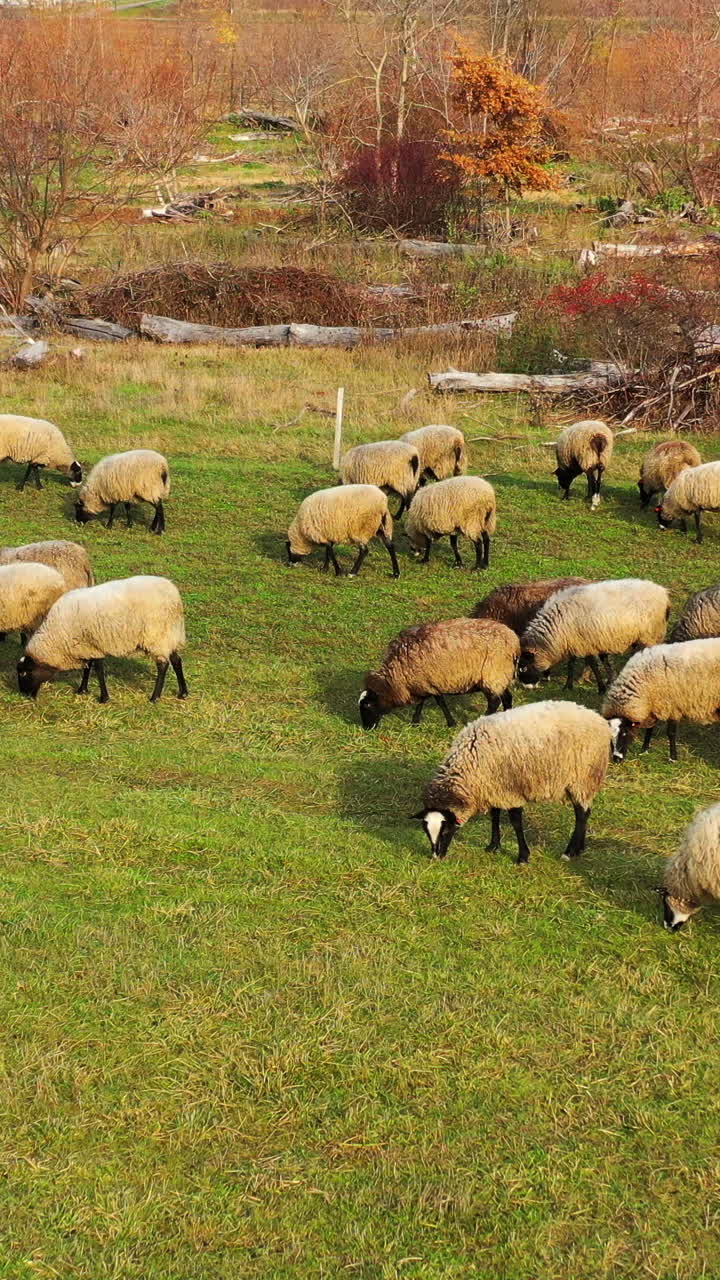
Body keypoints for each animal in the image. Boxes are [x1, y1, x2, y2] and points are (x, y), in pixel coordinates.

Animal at [17, 575, 188, 703]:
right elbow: (88, 666)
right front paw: (82, 690)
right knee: (176, 660)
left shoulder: (93, 644)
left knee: (163, 664)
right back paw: (183, 693)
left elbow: (98, 668)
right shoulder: (87, 645)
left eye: (24, 673)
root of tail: (174, 594)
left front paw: (103, 698)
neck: (56, 638)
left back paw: (155, 697)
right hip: (169, 634)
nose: (25, 695)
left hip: (157, 635)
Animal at [359, 618, 519, 730]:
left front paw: (451, 723)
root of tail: (513, 641)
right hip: (501, 674)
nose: (367, 729)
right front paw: (415, 722)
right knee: (507, 697)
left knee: (494, 701)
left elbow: (439, 701)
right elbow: (423, 702)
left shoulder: (429, 682)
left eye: (367, 706)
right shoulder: (424, 682)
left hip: (493, 672)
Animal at [413, 700, 612, 864]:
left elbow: (516, 821)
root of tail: (600, 720)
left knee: (581, 814)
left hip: (582, 778)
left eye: (445, 830)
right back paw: (579, 848)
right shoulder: (492, 786)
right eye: (426, 832)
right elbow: (495, 815)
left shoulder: (510, 790)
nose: (436, 857)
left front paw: (523, 856)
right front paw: (493, 846)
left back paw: (569, 852)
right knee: (585, 812)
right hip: (583, 781)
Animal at [519, 578, 670, 694]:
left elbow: (593, 664)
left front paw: (601, 688)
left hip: (651, 634)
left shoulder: (586, 643)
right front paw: (568, 686)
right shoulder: (575, 641)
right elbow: (572, 663)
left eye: (524, 667)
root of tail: (664, 594)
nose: (526, 687)